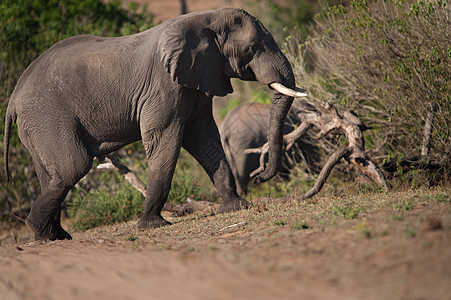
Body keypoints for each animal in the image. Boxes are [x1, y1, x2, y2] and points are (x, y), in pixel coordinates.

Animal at [2, 7, 308, 240]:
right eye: (251, 49)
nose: (259, 177)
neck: (206, 18)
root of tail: (13, 98)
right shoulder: (163, 87)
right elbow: (166, 142)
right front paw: (153, 225)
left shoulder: (195, 81)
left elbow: (207, 141)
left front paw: (236, 207)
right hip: (48, 116)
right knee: (73, 166)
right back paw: (42, 232)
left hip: (37, 126)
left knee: (51, 174)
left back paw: (55, 235)